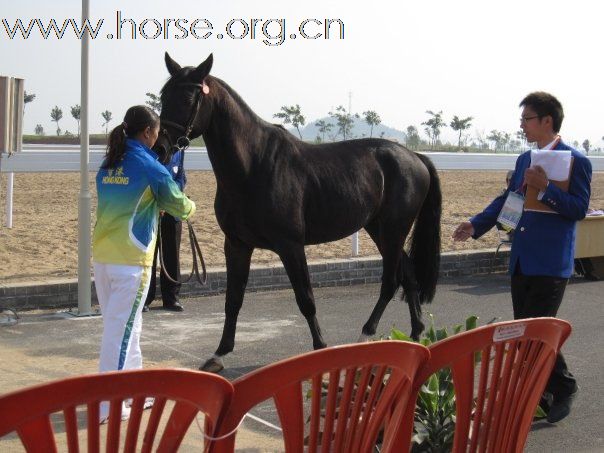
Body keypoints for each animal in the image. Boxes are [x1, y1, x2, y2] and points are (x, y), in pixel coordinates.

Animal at [156, 53, 442, 370]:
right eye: (163, 96)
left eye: (188, 96)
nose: (161, 148)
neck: (254, 165)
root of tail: (415, 157)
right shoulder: (237, 244)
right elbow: (233, 300)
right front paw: (219, 353)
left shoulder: (290, 245)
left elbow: (305, 298)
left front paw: (320, 349)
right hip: (379, 229)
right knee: (409, 275)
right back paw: (415, 335)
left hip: (393, 230)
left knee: (391, 282)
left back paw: (366, 334)